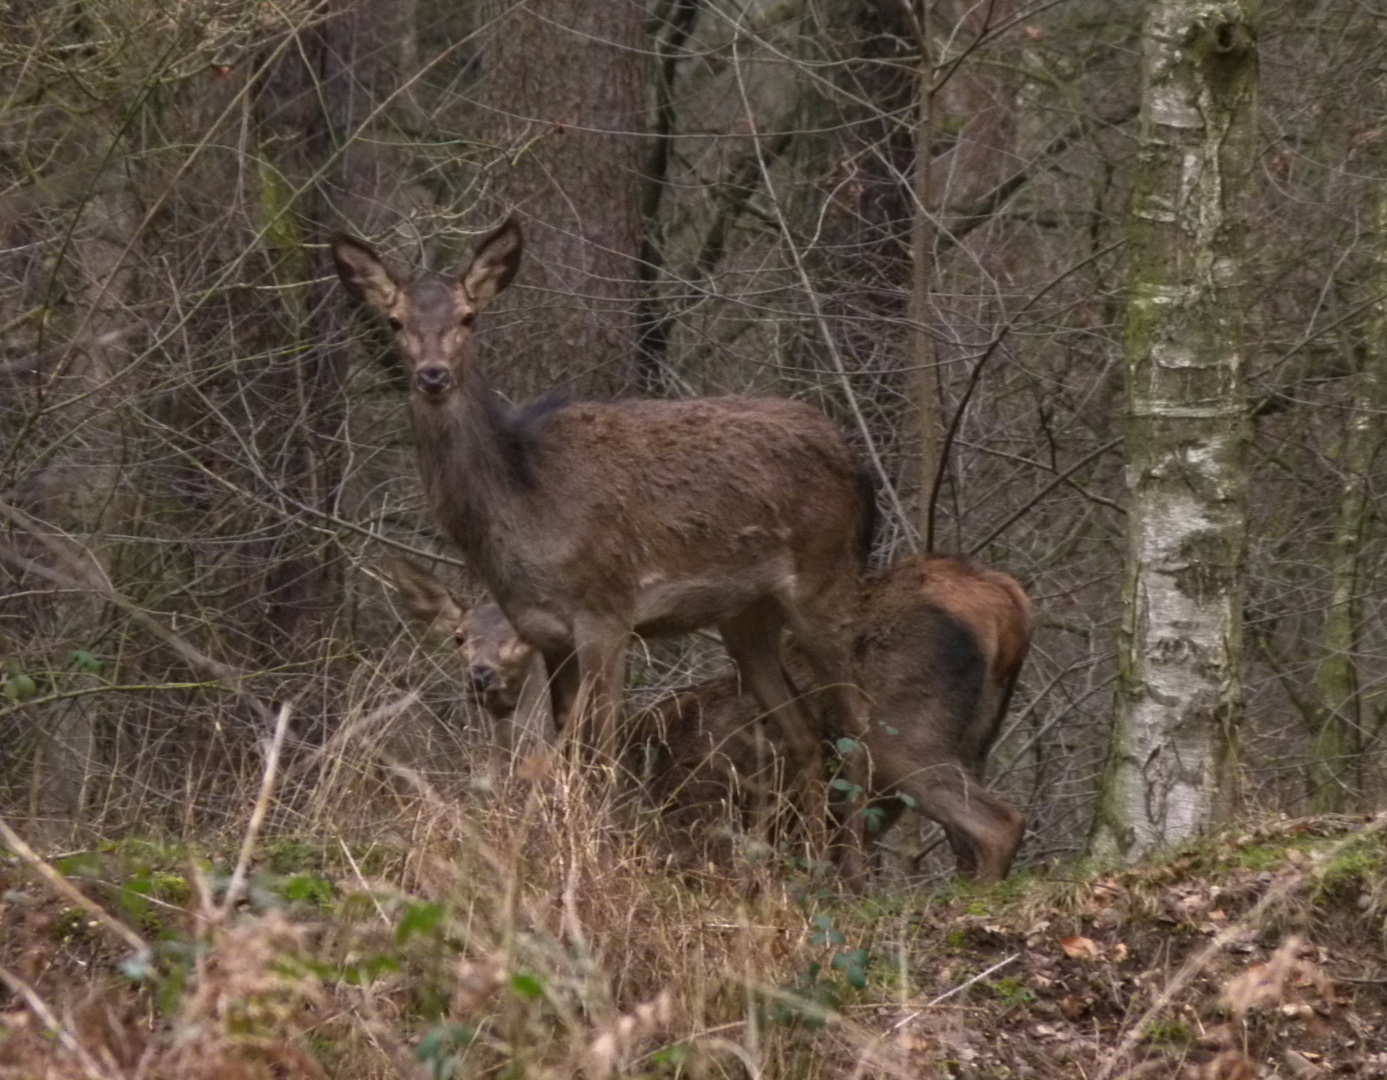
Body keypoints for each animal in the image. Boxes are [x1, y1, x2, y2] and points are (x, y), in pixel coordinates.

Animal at [331, 221, 871, 809]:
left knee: (862, 732)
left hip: (823, 580)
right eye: (395, 320)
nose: (433, 375)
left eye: (468, 316)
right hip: (746, 614)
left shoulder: (607, 612)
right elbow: (567, 754)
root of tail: (851, 459)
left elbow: (603, 758)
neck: (521, 505)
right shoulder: (547, 632)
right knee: (806, 735)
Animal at [385, 554, 1026, 881]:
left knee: (999, 823)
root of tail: (1007, 598)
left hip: (900, 732)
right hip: (977, 738)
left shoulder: (690, 831)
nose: (482, 676)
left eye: (521, 640)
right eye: (458, 637)